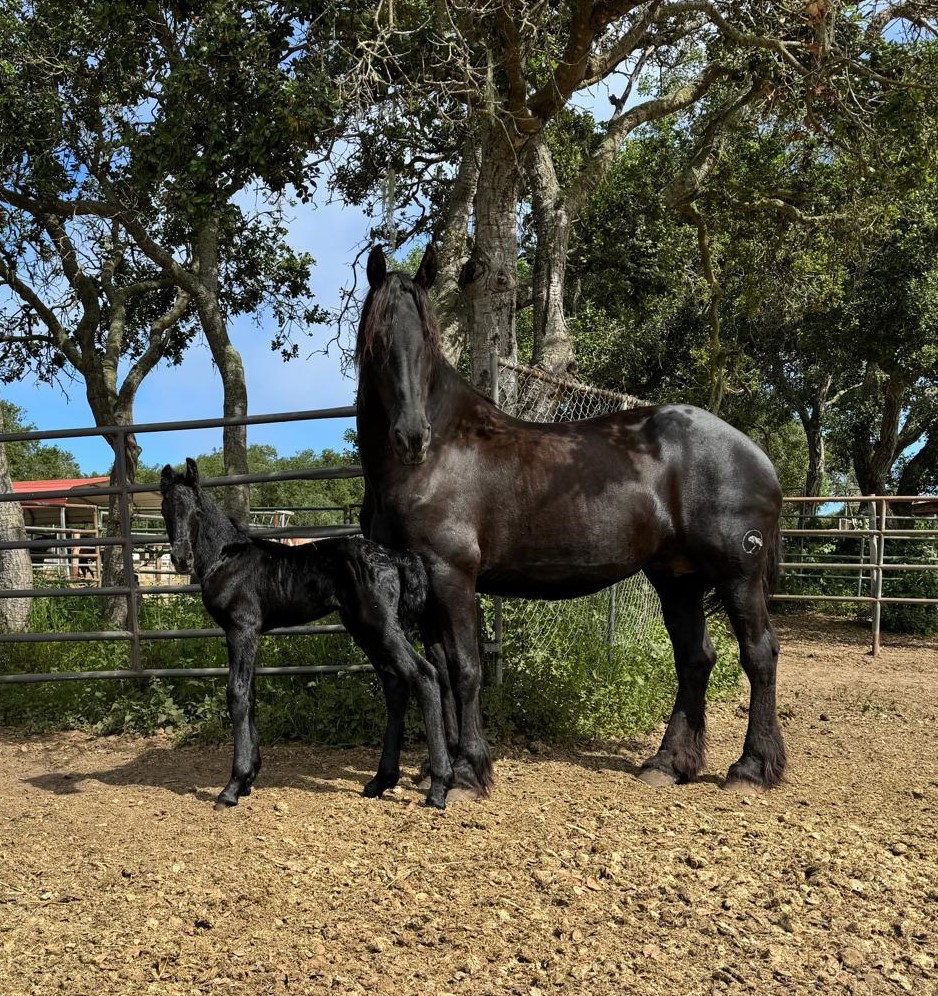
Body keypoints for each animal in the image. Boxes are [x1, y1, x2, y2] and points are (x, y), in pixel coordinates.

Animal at [159, 460, 452, 808]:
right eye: (165, 509)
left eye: (196, 511)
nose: (180, 559)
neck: (225, 557)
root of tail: (393, 555)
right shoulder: (250, 634)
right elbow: (251, 694)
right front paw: (249, 777)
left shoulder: (241, 629)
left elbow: (237, 693)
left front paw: (233, 786)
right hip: (365, 629)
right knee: (395, 684)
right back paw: (381, 781)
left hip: (380, 626)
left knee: (424, 675)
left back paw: (439, 787)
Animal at [352, 247, 784, 800]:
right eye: (378, 339)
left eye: (426, 342)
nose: (411, 436)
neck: (441, 453)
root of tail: (755, 454)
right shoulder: (423, 579)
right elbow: (443, 672)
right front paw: (437, 767)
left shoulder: (452, 575)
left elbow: (466, 669)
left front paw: (469, 772)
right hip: (676, 578)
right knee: (695, 658)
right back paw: (667, 763)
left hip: (737, 575)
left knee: (758, 654)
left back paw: (750, 768)